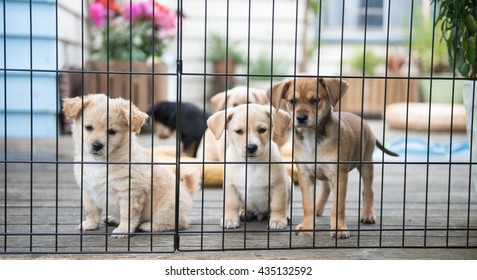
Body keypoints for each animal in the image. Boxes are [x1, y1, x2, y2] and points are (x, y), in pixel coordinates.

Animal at [62, 94, 198, 238]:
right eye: (88, 127)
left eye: (112, 131)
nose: (97, 145)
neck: (100, 162)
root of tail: (188, 192)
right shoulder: (88, 189)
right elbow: (90, 209)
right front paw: (90, 224)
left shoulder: (130, 192)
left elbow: (127, 214)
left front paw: (123, 230)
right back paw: (112, 219)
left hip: (166, 209)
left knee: (176, 223)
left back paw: (148, 226)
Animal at [270, 77, 396, 238]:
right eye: (292, 101)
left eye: (315, 100)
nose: (301, 118)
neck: (312, 138)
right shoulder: (306, 175)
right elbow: (307, 204)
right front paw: (307, 226)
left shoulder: (339, 175)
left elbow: (338, 206)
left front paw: (339, 228)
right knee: (326, 190)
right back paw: (318, 208)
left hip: (366, 164)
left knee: (368, 190)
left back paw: (368, 214)